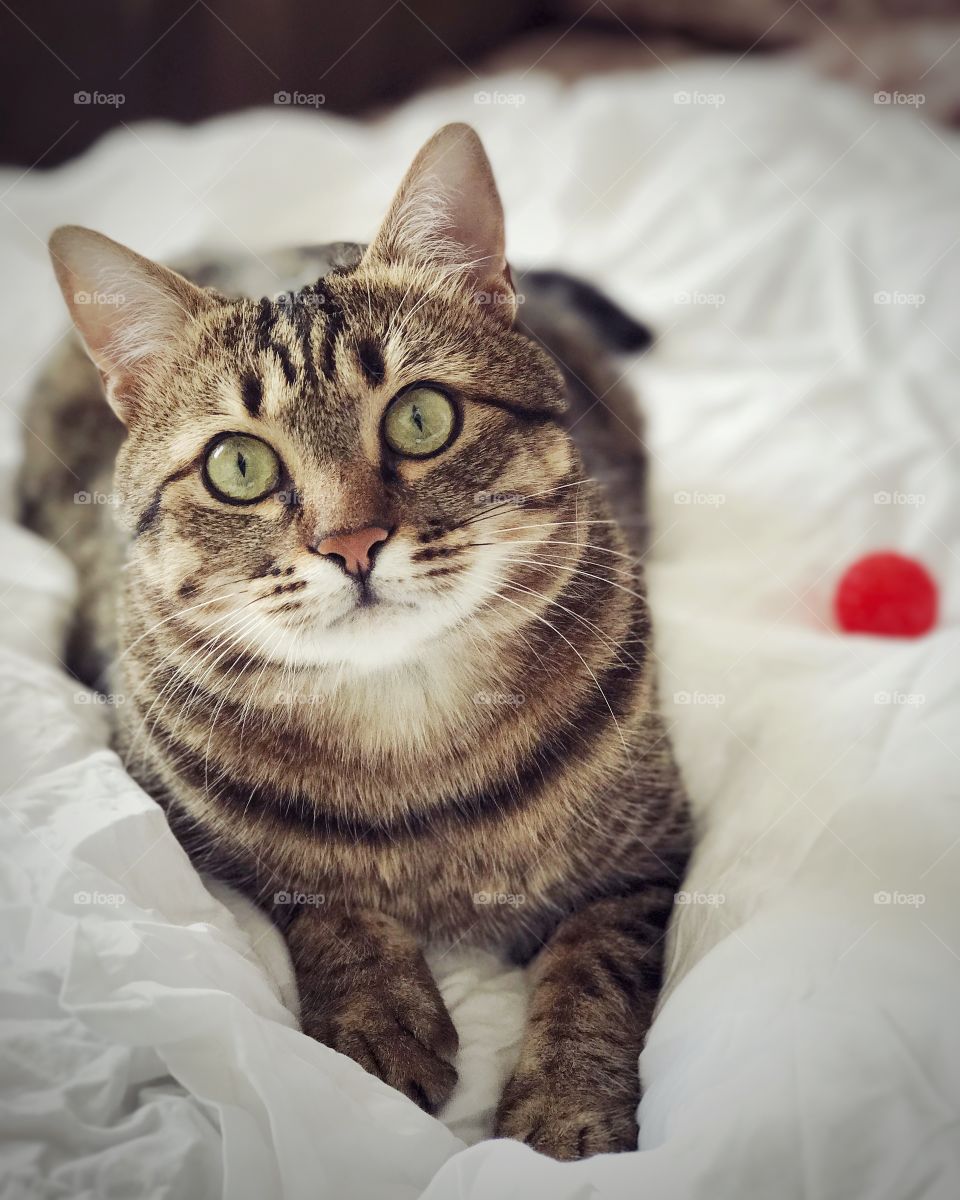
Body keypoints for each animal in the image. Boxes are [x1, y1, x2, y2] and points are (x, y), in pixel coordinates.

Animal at [20, 124, 691, 1161]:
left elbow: (595, 967)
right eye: (238, 465)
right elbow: (321, 900)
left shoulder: (651, 856)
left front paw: (566, 1110)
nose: (352, 542)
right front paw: (377, 1021)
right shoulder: (187, 826)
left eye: (421, 416)